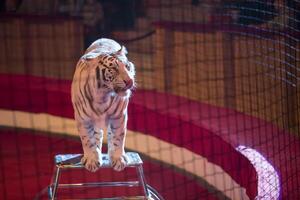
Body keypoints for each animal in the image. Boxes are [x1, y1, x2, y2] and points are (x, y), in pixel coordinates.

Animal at [71, 38, 135, 172]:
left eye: (127, 66)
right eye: (114, 69)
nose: (129, 81)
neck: (102, 95)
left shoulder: (119, 116)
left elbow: (118, 137)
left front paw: (119, 159)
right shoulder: (83, 118)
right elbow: (87, 139)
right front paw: (91, 160)